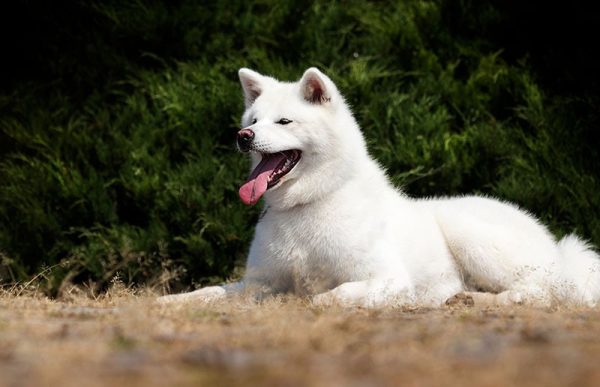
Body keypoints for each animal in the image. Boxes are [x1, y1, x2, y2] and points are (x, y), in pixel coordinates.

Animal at [159, 67, 600, 310]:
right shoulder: (256, 284)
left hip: (466, 230)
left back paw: (488, 299)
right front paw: (168, 302)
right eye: (253, 119)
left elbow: (327, 296)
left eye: (284, 122)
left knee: (541, 290)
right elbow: (210, 292)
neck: (309, 204)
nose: (243, 137)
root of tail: (559, 249)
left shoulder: (387, 278)